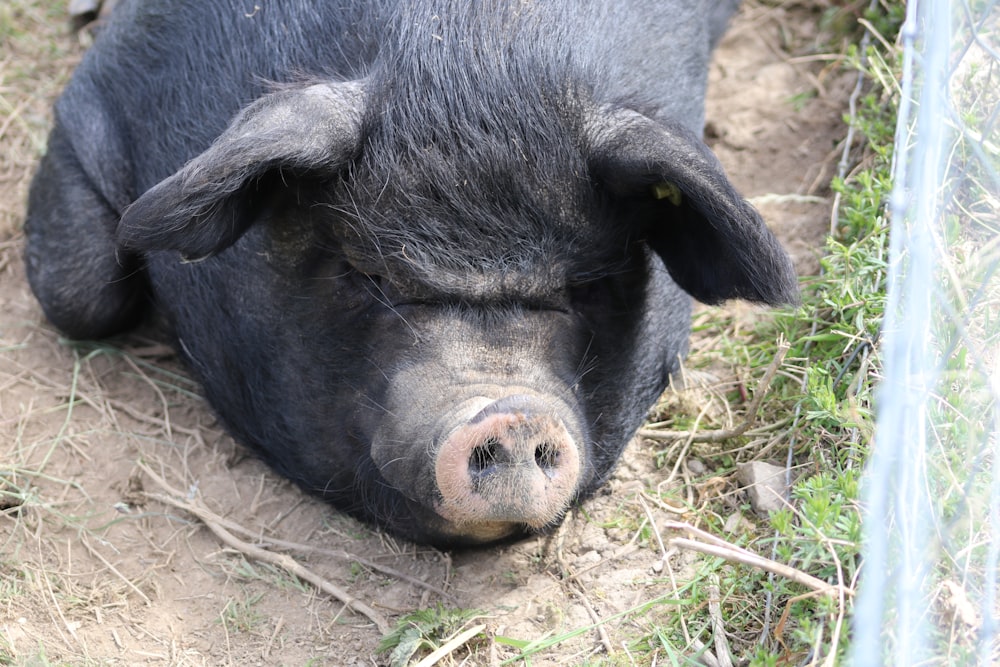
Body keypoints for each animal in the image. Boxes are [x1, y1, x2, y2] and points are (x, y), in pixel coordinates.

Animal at [23, 0, 796, 548]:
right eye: (372, 276)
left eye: (583, 285)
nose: (510, 411)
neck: (472, 52)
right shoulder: (100, 94)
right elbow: (80, 296)